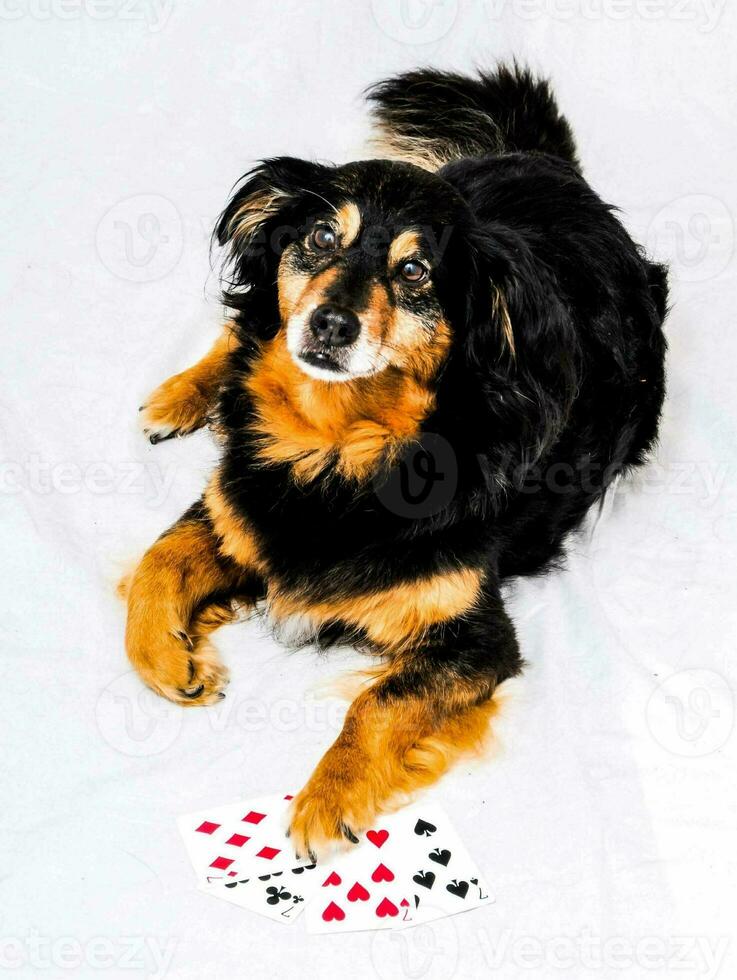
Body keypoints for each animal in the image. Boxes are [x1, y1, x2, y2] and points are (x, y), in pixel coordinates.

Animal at [126, 65, 668, 856]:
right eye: (322, 236)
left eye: (414, 271)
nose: (329, 324)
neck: (336, 447)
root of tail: (549, 165)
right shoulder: (239, 506)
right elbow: (157, 560)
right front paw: (168, 658)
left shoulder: (473, 637)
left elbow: (381, 701)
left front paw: (329, 798)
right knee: (241, 325)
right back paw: (179, 395)